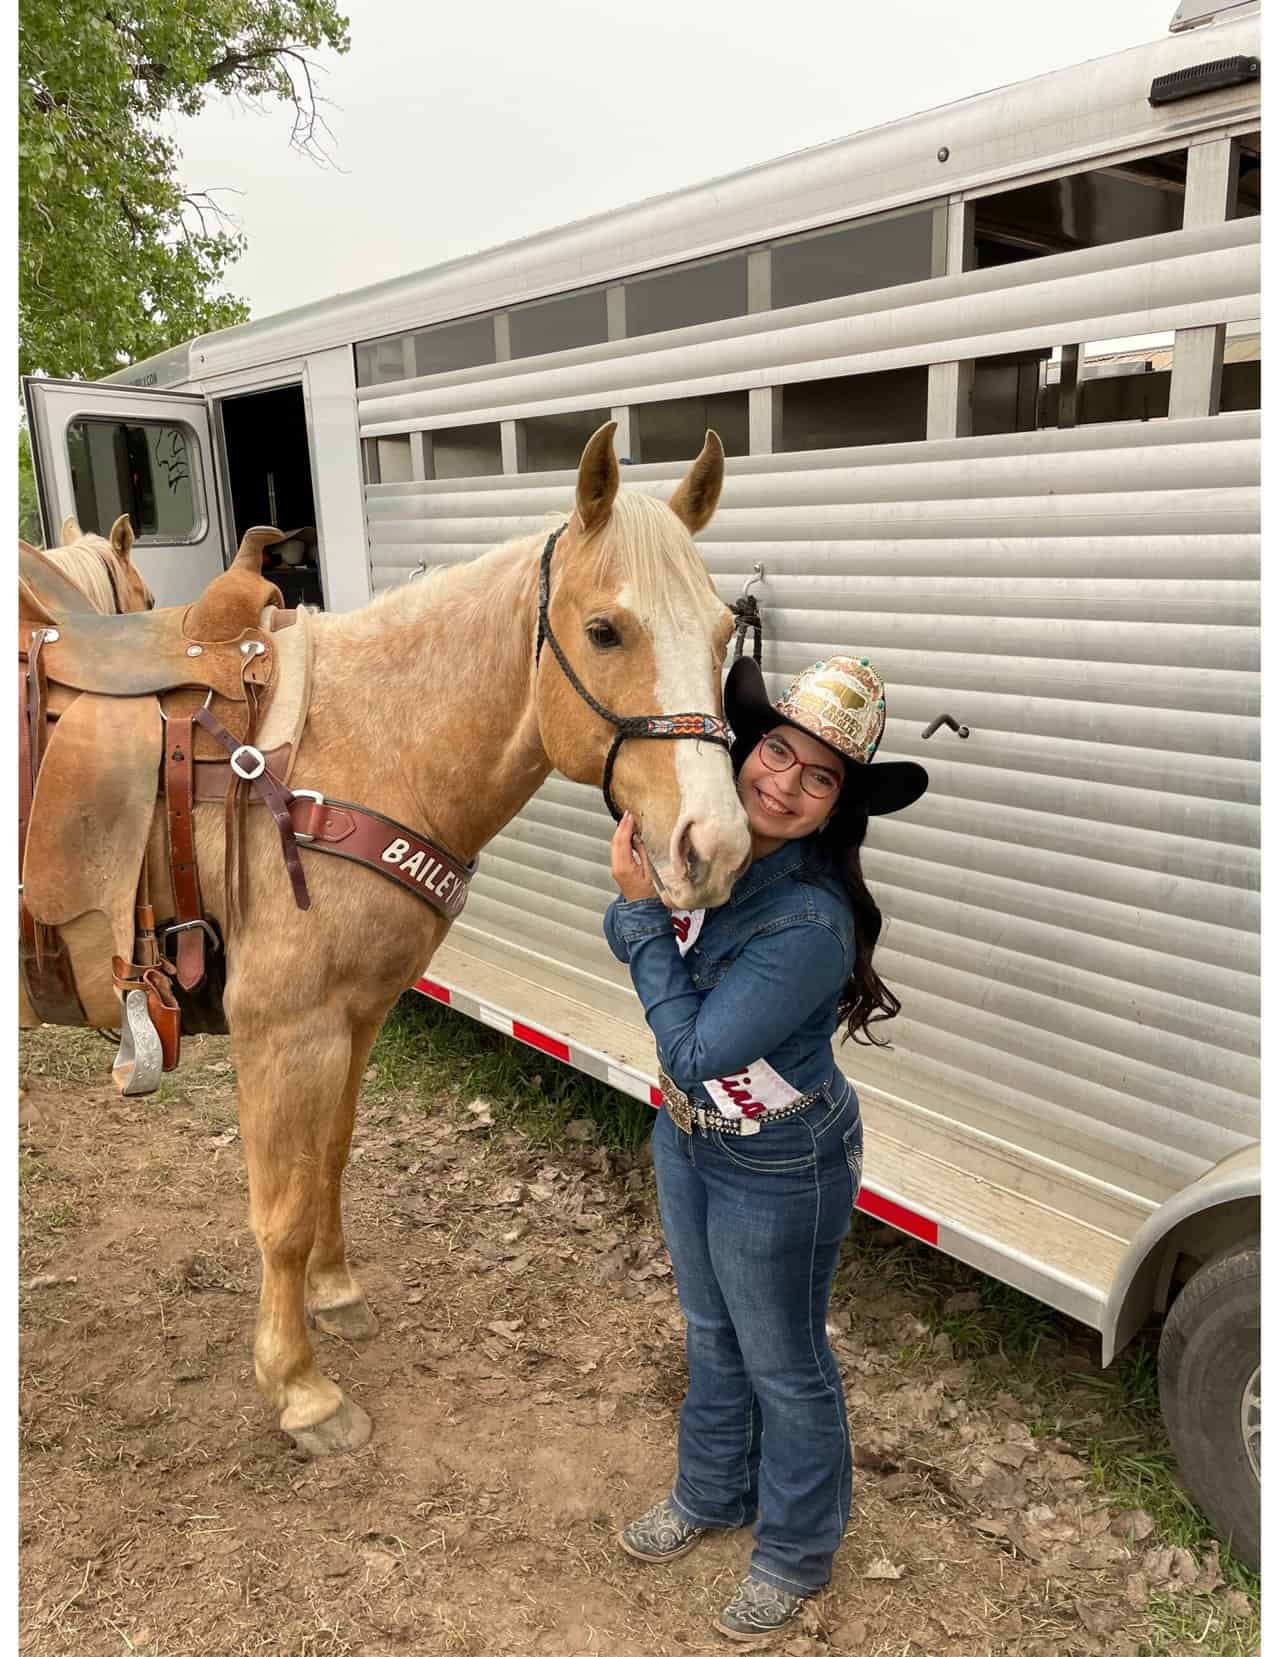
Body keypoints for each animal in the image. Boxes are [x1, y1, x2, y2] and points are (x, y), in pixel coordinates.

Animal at [20, 424, 752, 1455]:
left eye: (726, 633)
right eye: (606, 630)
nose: (713, 846)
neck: (364, 749)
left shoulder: (357, 1015)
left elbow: (329, 1157)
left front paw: (334, 1294)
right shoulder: (286, 1029)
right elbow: (281, 1209)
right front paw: (299, 1388)